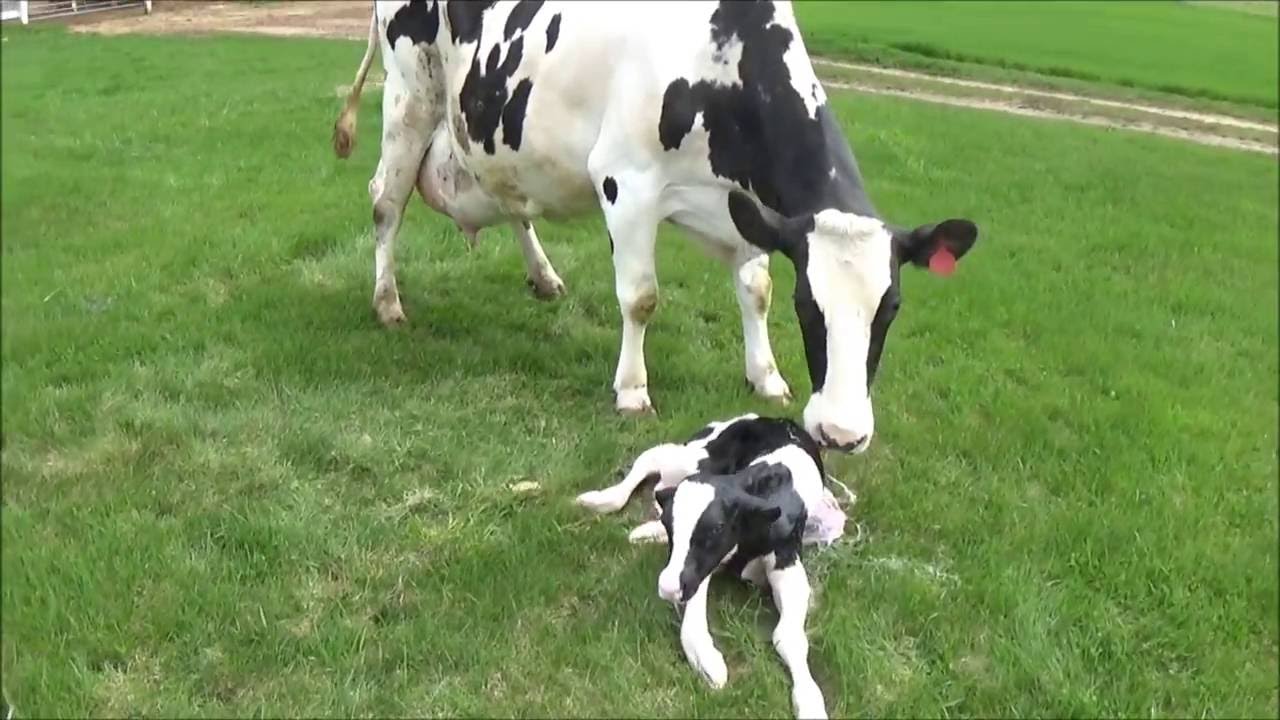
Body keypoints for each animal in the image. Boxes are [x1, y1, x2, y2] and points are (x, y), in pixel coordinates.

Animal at [330, 0, 977, 450]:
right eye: (808, 306)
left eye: (891, 307)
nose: (841, 434)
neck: (717, 61)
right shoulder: (627, 182)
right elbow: (640, 298)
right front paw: (633, 390)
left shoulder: (747, 207)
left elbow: (755, 290)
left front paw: (766, 376)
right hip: (412, 95)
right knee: (386, 201)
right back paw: (387, 302)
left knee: (511, 200)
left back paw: (544, 276)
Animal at [578, 412, 844, 712]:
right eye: (672, 526)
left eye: (716, 529)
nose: (668, 587)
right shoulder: (695, 570)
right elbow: (693, 624)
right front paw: (708, 663)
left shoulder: (785, 561)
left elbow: (788, 636)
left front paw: (810, 701)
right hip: (694, 457)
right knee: (656, 457)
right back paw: (602, 500)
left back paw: (645, 532)